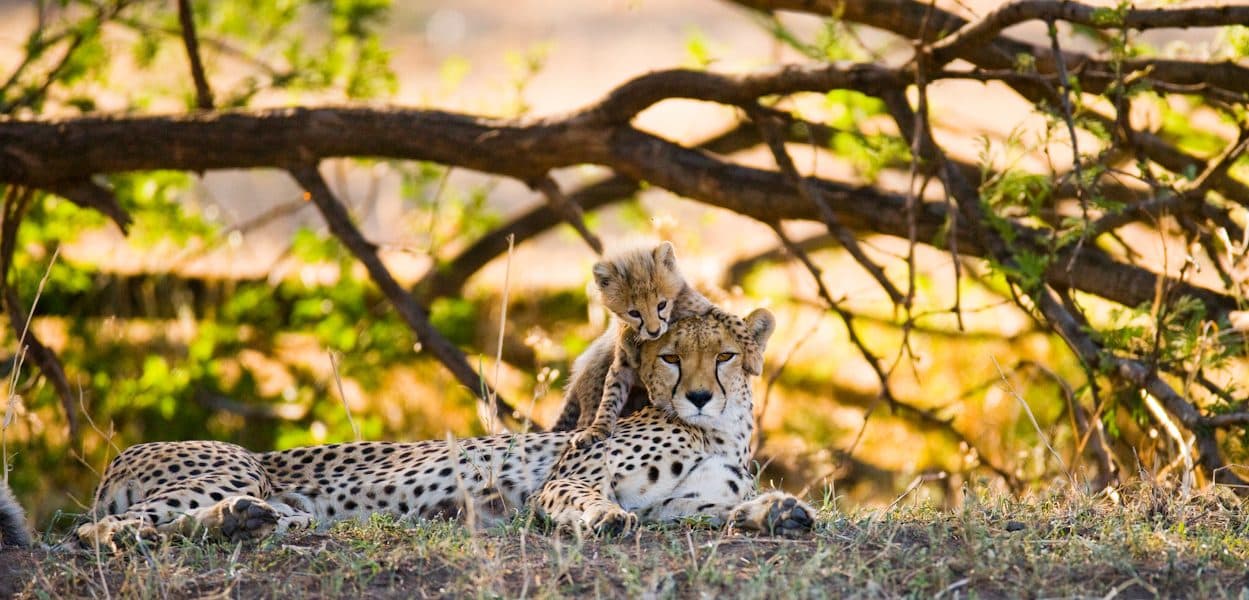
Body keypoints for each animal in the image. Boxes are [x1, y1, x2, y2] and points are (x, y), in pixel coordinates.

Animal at [68, 308, 813, 549]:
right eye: (670, 357)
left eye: (723, 356)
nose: (697, 396)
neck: (718, 433)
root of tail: (121, 456)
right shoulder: (572, 477)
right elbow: (580, 498)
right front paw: (600, 519)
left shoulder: (677, 507)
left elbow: (719, 513)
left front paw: (778, 512)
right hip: (230, 465)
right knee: (99, 532)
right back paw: (235, 518)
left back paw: (254, 520)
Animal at [552, 242, 762, 456]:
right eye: (634, 313)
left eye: (661, 305)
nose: (653, 331)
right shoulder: (622, 365)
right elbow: (610, 396)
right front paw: (598, 428)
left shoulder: (705, 309)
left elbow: (730, 319)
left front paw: (753, 356)